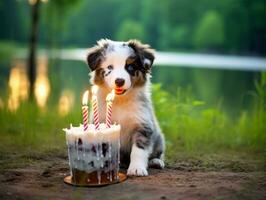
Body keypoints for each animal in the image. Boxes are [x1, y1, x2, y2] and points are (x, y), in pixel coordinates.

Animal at [86, 39, 165, 177]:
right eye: (109, 67)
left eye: (130, 67)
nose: (119, 81)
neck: (120, 101)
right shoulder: (100, 124)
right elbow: (101, 149)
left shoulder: (143, 126)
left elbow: (138, 151)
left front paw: (137, 169)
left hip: (159, 138)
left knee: (158, 154)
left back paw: (156, 161)